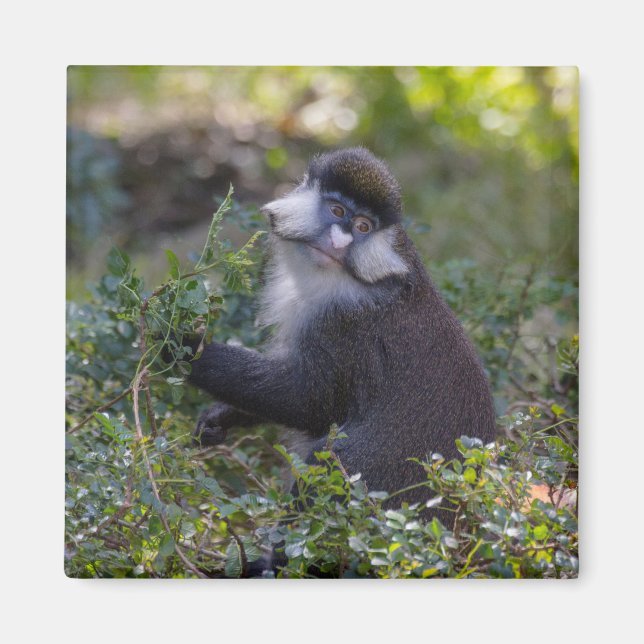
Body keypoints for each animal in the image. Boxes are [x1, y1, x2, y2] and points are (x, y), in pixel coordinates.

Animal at [186, 147, 497, 521]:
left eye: (363, 226)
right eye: (337, 211)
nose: (339, 241)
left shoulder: (345, 325)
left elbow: (308, 401)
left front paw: (182, 347)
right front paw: (221, 415)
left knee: (333, 457)